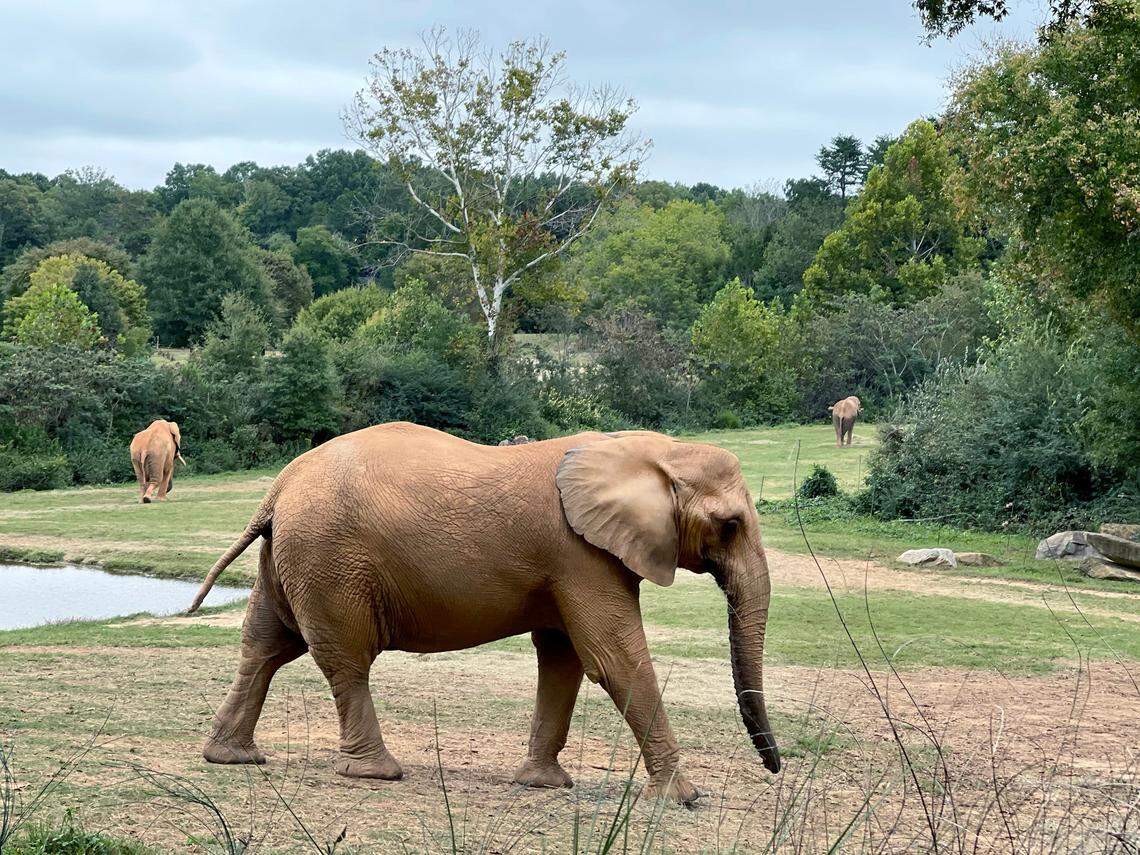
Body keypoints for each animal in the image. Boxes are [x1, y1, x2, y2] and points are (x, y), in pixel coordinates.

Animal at [186, 422, 781, 805]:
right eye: (730, 525)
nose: (776, 770)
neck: (645, 451)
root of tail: (277, 489)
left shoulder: (569, 563)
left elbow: (563, 659)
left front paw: (542, 785)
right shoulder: (579, 555)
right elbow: (614, 659)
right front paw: (682, 798)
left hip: (293, 557)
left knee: (266, 645)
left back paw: (231, 758)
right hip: (329, 561)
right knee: (346, 660)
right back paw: (376, 773)